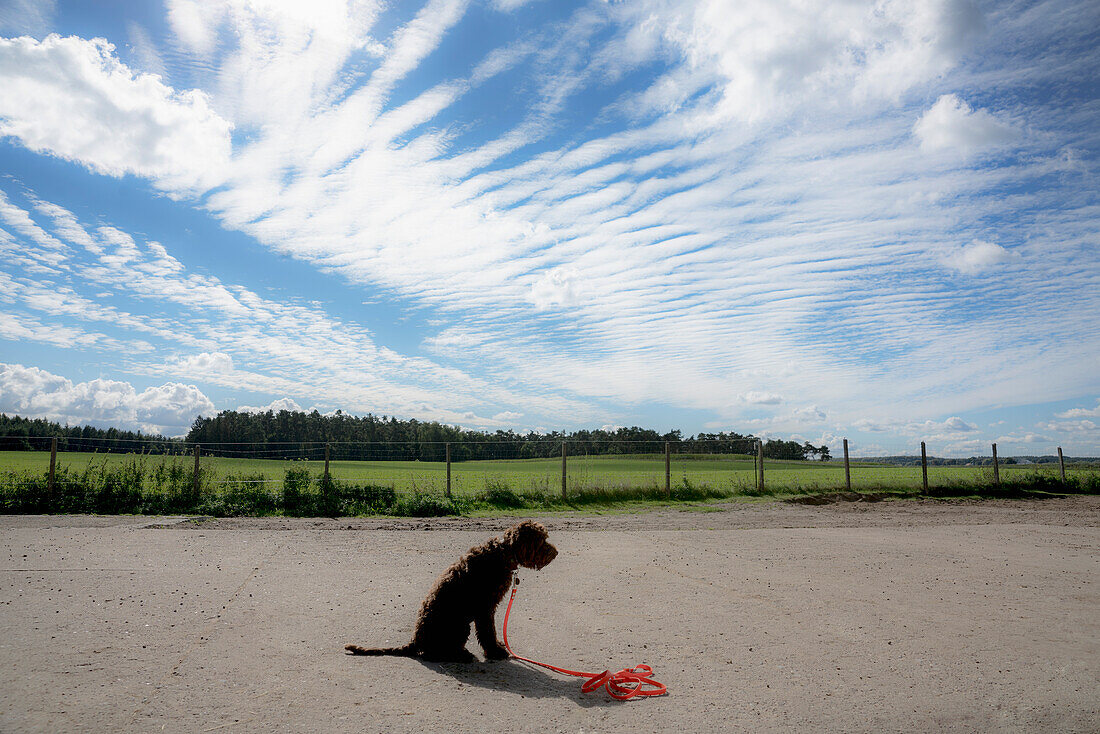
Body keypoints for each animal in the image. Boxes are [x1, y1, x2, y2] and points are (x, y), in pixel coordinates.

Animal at [345, 519, 558, 664]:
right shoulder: (484, 609)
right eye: (541, 540)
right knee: (434, 653)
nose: (556, 553)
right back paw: (461, 655)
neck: (502, 553)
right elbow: (488, 632)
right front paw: (495, 652)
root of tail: (415, 640)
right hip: (459, 625)